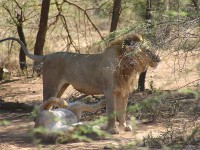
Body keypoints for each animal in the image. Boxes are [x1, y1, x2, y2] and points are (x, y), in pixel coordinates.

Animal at [0, 34, 159, 135]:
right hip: (51, 86)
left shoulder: (124, 92)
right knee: (44, 103)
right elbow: (112, 111)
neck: (128, 67)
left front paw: (124, 127)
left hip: (61, 87)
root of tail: (47, 55)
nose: (159, 59)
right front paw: (113, 130)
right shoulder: (109, 91)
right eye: (147, 50)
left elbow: (123, 111)